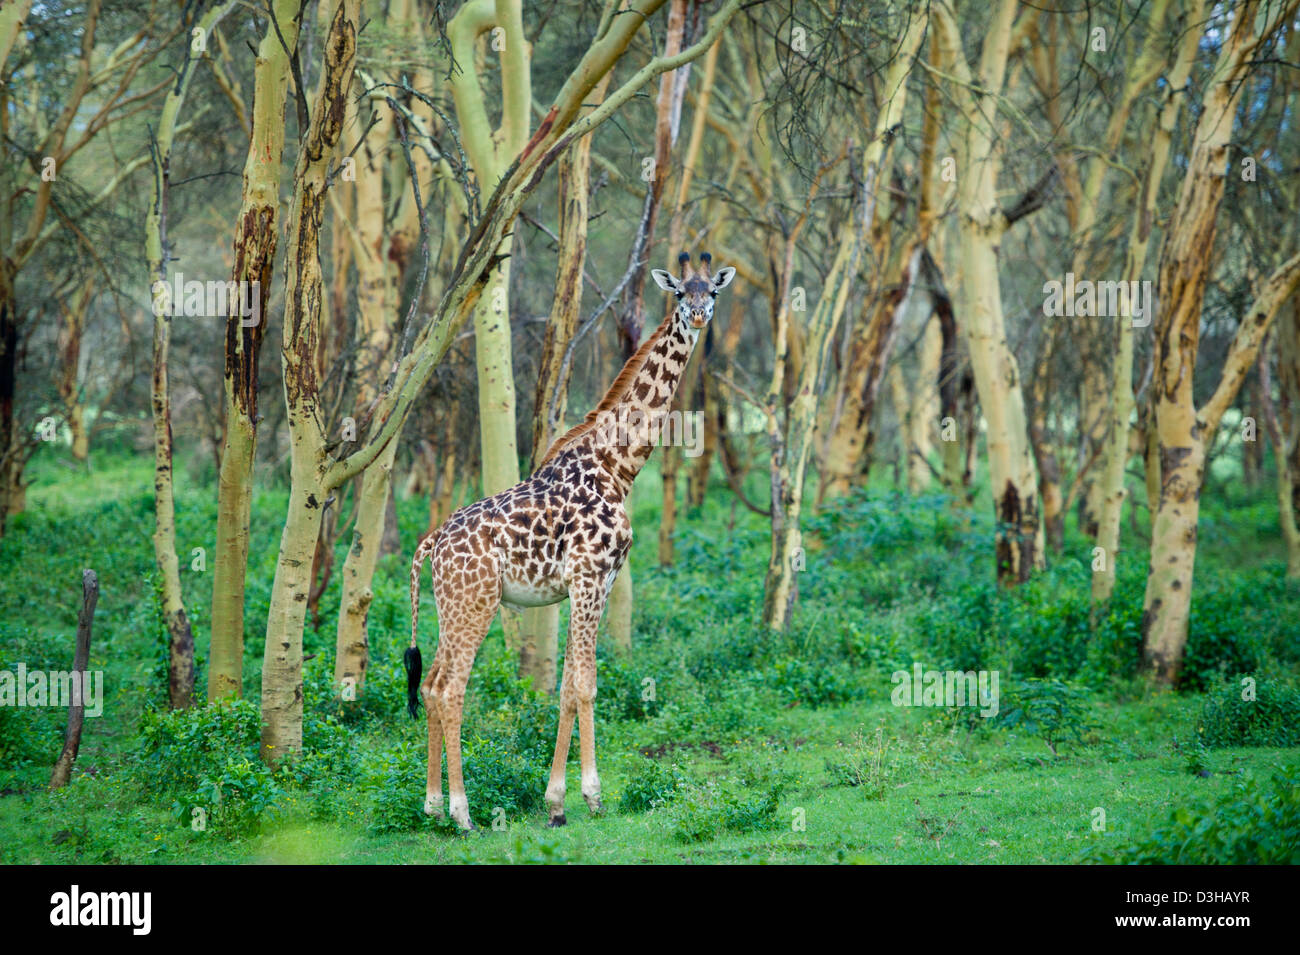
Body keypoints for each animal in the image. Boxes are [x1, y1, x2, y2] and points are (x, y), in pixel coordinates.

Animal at [405, 254, 733, 831]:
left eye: (712, 292)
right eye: (679, 295)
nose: (697, 317)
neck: (617, 466)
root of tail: (431, 546)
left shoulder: (594, 584)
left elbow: (566, 685)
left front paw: (555, 802)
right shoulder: (588, 577)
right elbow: (585, 684)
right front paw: (589, 796)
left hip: (450, 608)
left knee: (429, 684)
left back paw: (431, 806)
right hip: (476, 605)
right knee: (450, 689)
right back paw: (463, 814)